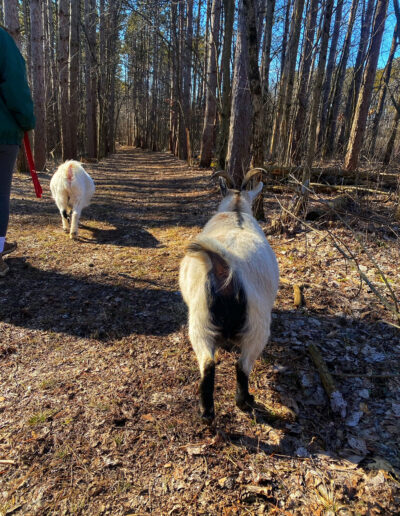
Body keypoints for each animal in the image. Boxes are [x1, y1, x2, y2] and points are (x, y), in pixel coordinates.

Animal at [180, 169, 280, 424]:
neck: (235, 212)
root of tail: (226, 266)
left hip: (200, 322)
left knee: (207, 363)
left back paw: (207, 412)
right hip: (257, 327)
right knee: (242, 366)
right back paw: (244, 401)